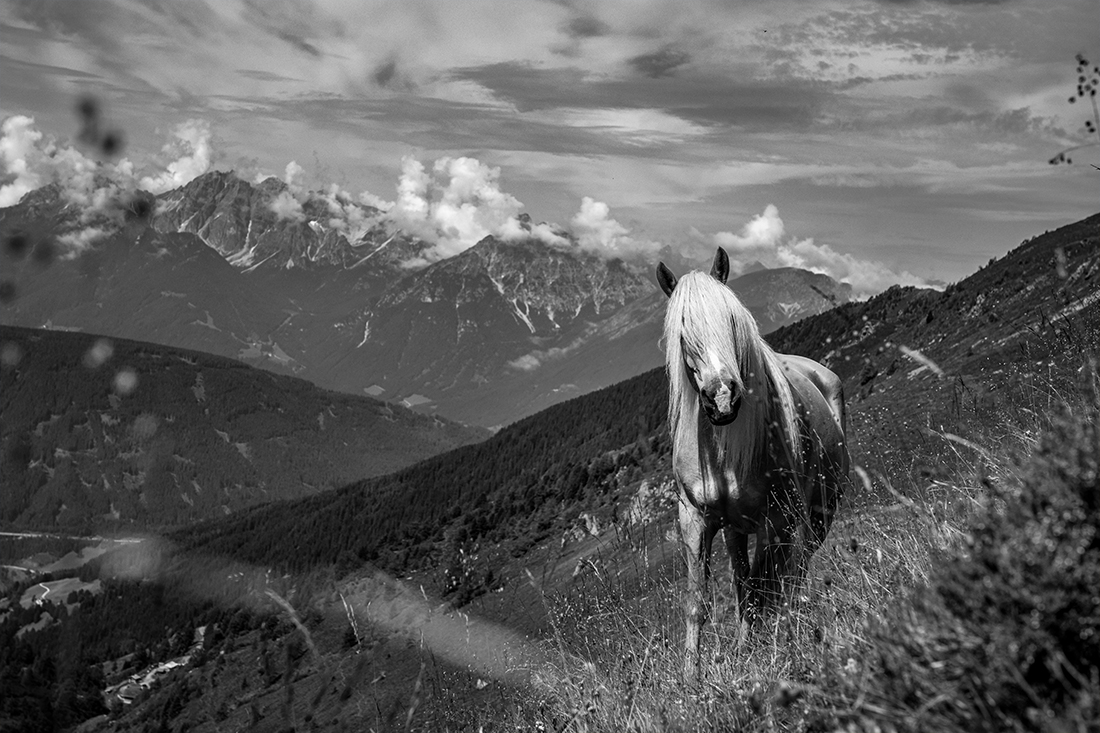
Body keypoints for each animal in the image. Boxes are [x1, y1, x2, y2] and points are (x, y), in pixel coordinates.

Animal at [656, 247, 850, 682]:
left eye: (730, 321)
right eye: (683, 333)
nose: (722, 398)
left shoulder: (775, 520)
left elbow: (767, 589)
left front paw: (769, 655)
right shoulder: (694, 519)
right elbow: (701, 601)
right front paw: (691, 678)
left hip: (815, 516)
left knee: (792, 574)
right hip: (737, 529)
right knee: (749, 581)